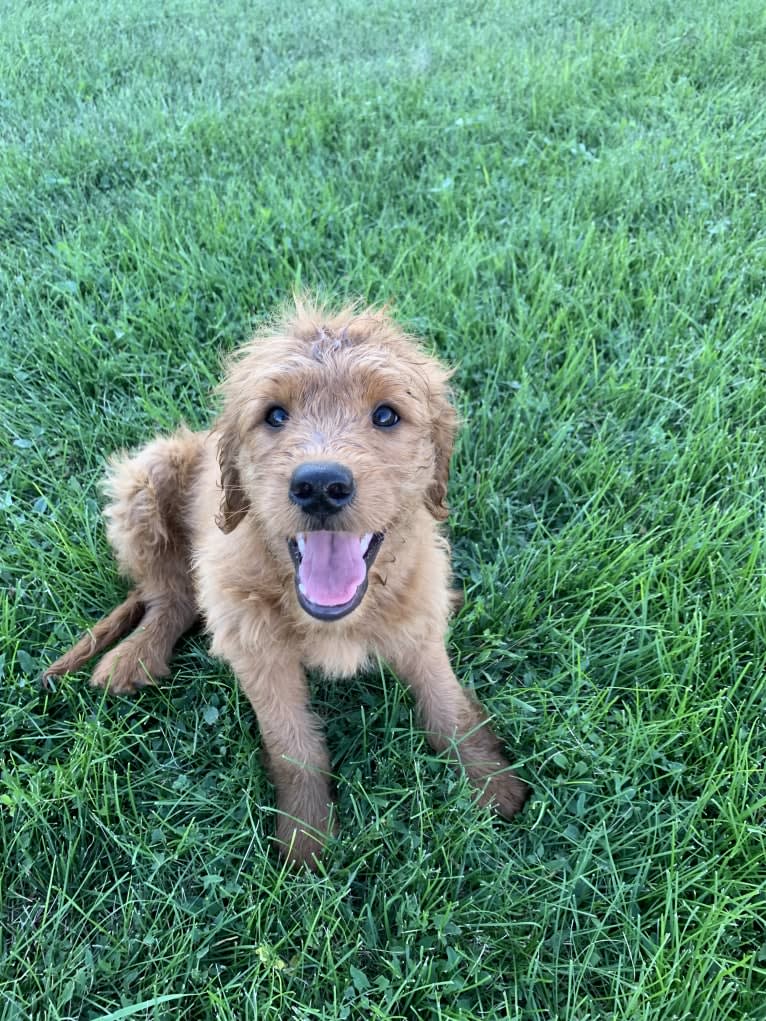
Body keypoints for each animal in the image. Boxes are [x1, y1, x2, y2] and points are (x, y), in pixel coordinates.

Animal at [44, 298, 531, 865]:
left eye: (386, 414)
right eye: (275, 415)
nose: (320, 484)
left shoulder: (418, 624)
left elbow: (448, 706)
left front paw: (492, 784)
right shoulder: (256, 647)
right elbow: (293, 745)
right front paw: (305, 839)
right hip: (145, 478)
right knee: (171, 596)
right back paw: (133, 656)